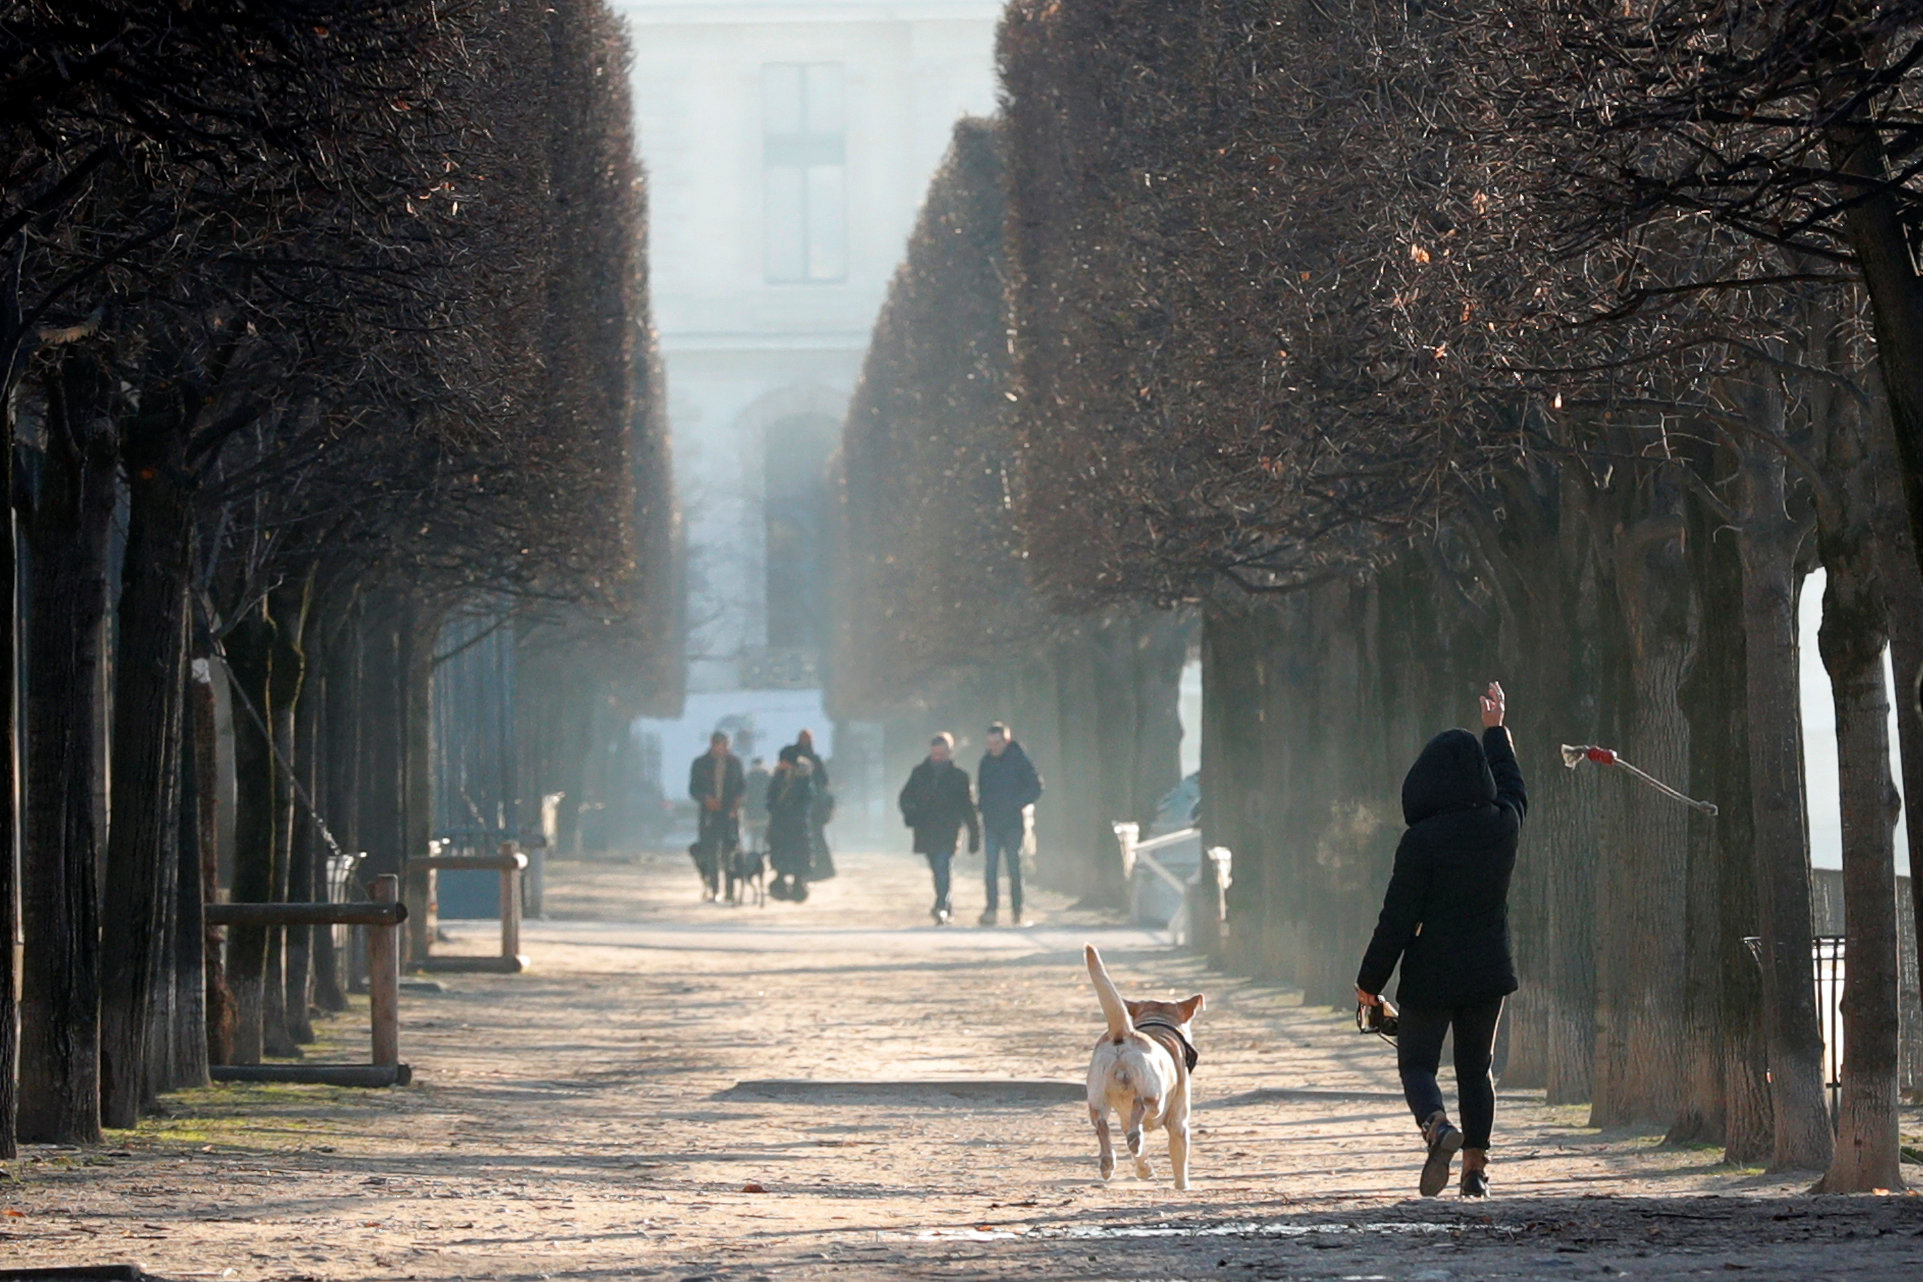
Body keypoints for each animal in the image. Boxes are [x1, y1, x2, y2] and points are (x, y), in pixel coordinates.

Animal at [1084, 941, 1199, 1191]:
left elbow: (1140, 1155)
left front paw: (1144, 1170)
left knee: (1103, 1125)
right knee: (1140, 1106)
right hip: (1155, 1096)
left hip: (1097, 1098)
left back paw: (1108, 1162)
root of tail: (1123, 1033)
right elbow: (1179, 1161)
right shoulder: (1179, 1123)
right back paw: (1133, 1139)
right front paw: (1183, 1186)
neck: (1158, 1026)